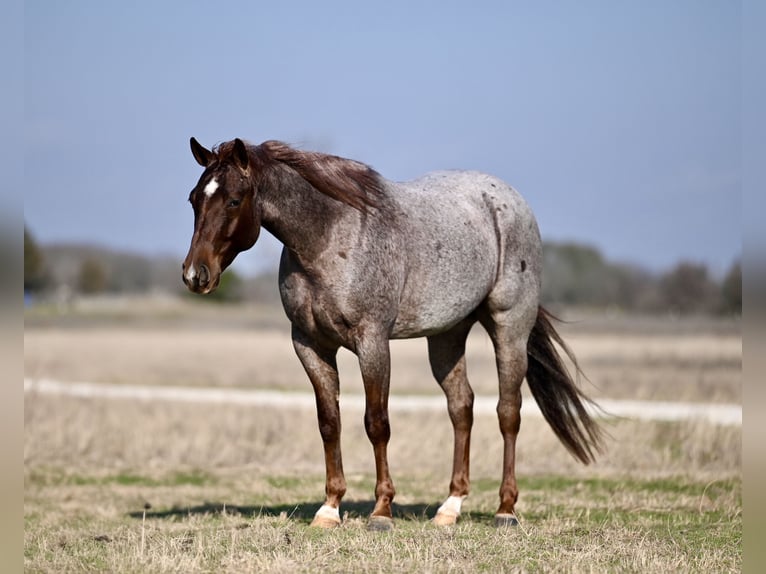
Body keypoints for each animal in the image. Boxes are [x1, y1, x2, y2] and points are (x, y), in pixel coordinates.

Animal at [182, 136, 608, 532]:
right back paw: (450, 508)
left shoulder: (372, 342)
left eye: (234, 200)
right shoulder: (310, 344)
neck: (329, 237)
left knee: (508, 412)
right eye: (193, 199)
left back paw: (506, 509)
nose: (195, 275)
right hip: (447, 335)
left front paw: (382, 511)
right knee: (461, 408)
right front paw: (329, 508)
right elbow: (329, 422)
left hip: (509, 328)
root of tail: (507, 198)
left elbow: (377, 423)